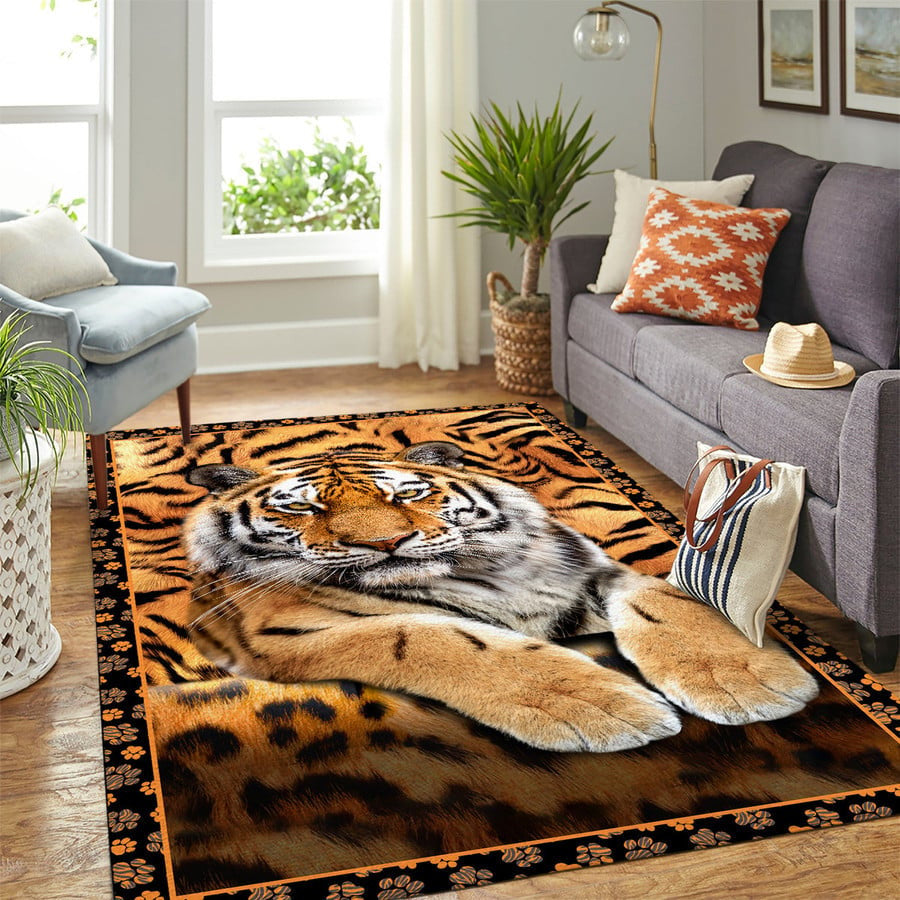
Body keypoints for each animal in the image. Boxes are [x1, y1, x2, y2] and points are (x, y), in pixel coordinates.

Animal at [183, 440, 819, 753]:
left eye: (408, 494)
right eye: (301, 507)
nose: (385, 543)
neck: (476, 574)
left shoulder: (592, 568)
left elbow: (662, 599)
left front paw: (747, 684)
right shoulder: (288, 633)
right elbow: (440, 636)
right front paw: (601, 709)